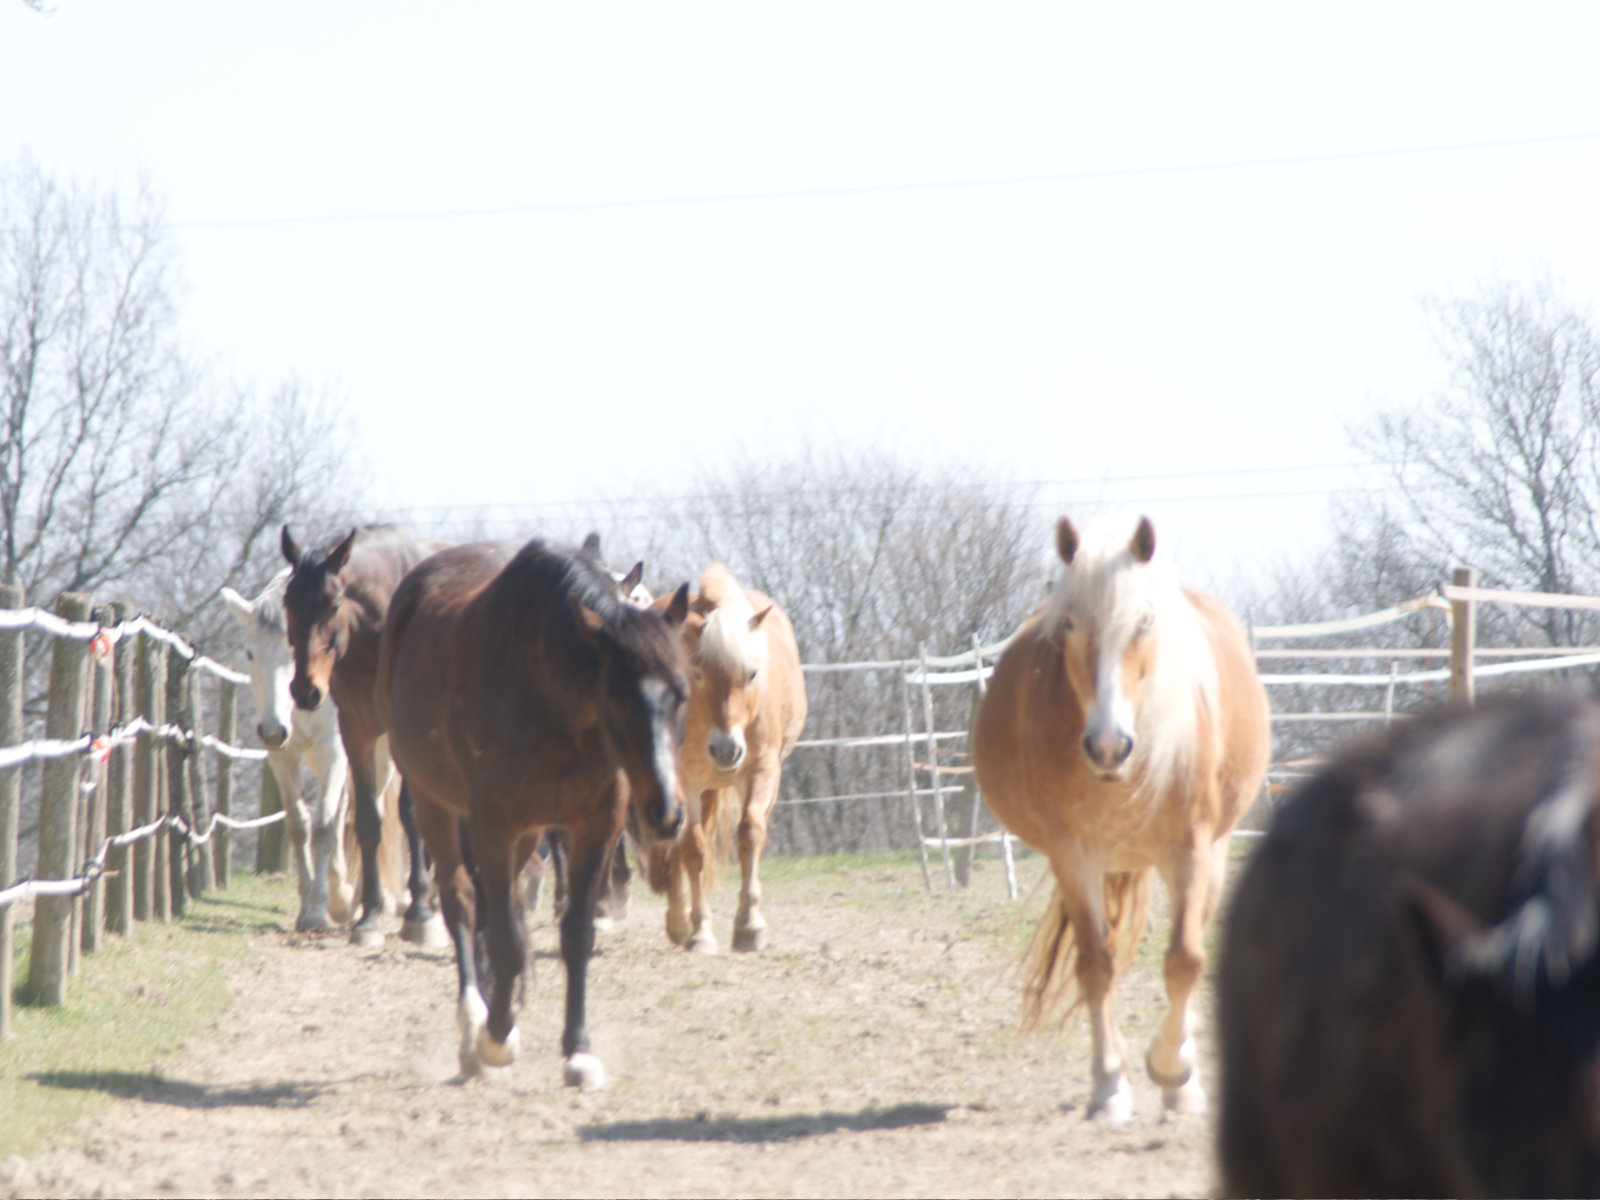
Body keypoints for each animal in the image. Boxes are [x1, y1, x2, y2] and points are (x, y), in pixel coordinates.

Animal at [219, 571, 406, 930]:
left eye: (295, 652)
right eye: (250, 653)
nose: (273, 728)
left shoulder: (334, 749)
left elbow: (323, 827)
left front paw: (321, 910)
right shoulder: (283, 756)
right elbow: (300, 825)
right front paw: (311, 905)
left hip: (380, 755)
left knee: (374, 811)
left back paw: (366, 899)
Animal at [280, 524, 443, 947]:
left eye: (334, 605)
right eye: (288, 603)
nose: (306, 691)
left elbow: (410, 815)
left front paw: (420, 913)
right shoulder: (357, 732)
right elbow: (370, 820)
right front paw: (368, 917)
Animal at [375, 538, 691, 1085]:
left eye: (682, 695)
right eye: (615, 696)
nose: (666, 813)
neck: (551, 701)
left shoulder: (594, 827)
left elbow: (574, 933)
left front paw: (578, 1050)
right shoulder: (495, 827)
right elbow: (501, 934)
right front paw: (496, 1038)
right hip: (438, 806)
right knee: (461, 903)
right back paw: (474, 1024)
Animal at [643, 562, 808, 954]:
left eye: (752, 673)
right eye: (697, 674)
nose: (726, 749)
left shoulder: (763, 770)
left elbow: (750, 831)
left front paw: (749, 924)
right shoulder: (684, 780)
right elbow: (692, 849)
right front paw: (700, 931)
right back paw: (678, 921)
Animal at [972, 514, 1269, 1123]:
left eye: (1146, 621)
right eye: (1068, 623)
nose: (1109, 747)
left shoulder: (1191, 849)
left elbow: (1186, 960)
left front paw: (1174, 1073)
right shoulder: (1073, 857)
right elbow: (1097, 966)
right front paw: (1109, 1087)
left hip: (1213, 852)